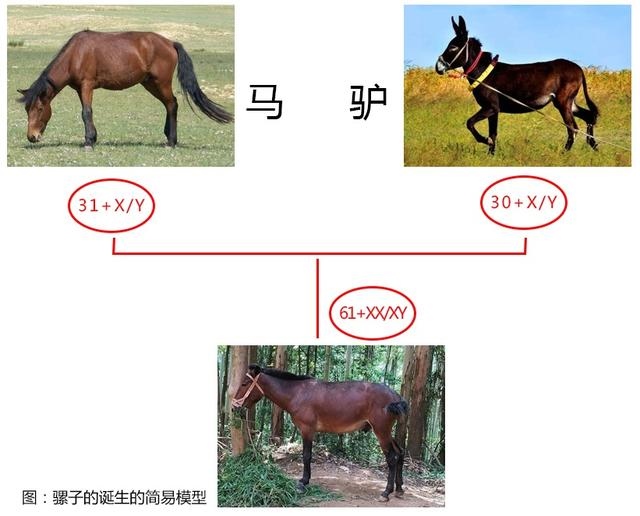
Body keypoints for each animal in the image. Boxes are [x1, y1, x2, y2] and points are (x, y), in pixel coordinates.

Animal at [17, 30, 233, 148]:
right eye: (27, 110)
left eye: (39, 109)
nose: (32, 137)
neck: (75, 55)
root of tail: (170, 43)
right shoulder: (80, 89)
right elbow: (86, 113)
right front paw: (93, 138)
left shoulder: (87, 86)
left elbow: (86, 112)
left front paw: (88, 141)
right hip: (150, 84)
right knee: (169, 105)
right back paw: (168, 137)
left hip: (160, 83)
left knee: (172, 104)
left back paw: (171, 141)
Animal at [231, 364, 408, 502]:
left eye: (244, 383)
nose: (233, 407)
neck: (297, 393)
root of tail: (396, 396)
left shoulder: (307, 429)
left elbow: (306, 456)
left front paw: (303, 482)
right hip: (385, 431)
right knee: (400, 453)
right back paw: (399, 489)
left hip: (381, 431)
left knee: (392, 457)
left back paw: (386, 492)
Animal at [435, 16, 599, 154]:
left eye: (453, 47)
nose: (438, 67)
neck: (483, 72)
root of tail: (579, 68)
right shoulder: (494, 110)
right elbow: (493, 133)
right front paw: (490, 156)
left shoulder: (490, 107)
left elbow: (470, 123)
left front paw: (485, 141)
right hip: (569, 102)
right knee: (589, 116)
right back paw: (594, 146)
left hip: (563, 101)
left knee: (573, 128)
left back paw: (564, 154)